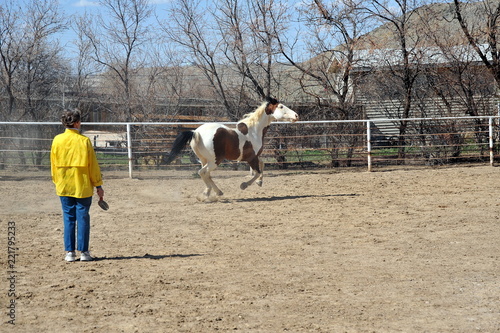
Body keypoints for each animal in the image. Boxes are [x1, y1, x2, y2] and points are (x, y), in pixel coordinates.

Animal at [164, 97, 298, 201]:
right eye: (281, 106)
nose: (296, 115)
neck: (254, 130)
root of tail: (196, 132)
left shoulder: (254, 157)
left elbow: (262, 165)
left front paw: (259, 182)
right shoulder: (251, 158)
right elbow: (257, 172)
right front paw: (244, 185)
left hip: (204, 160)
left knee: (206, 174)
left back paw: (216, 192)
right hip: (215, 160)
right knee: (202, 172)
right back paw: (206, 194)